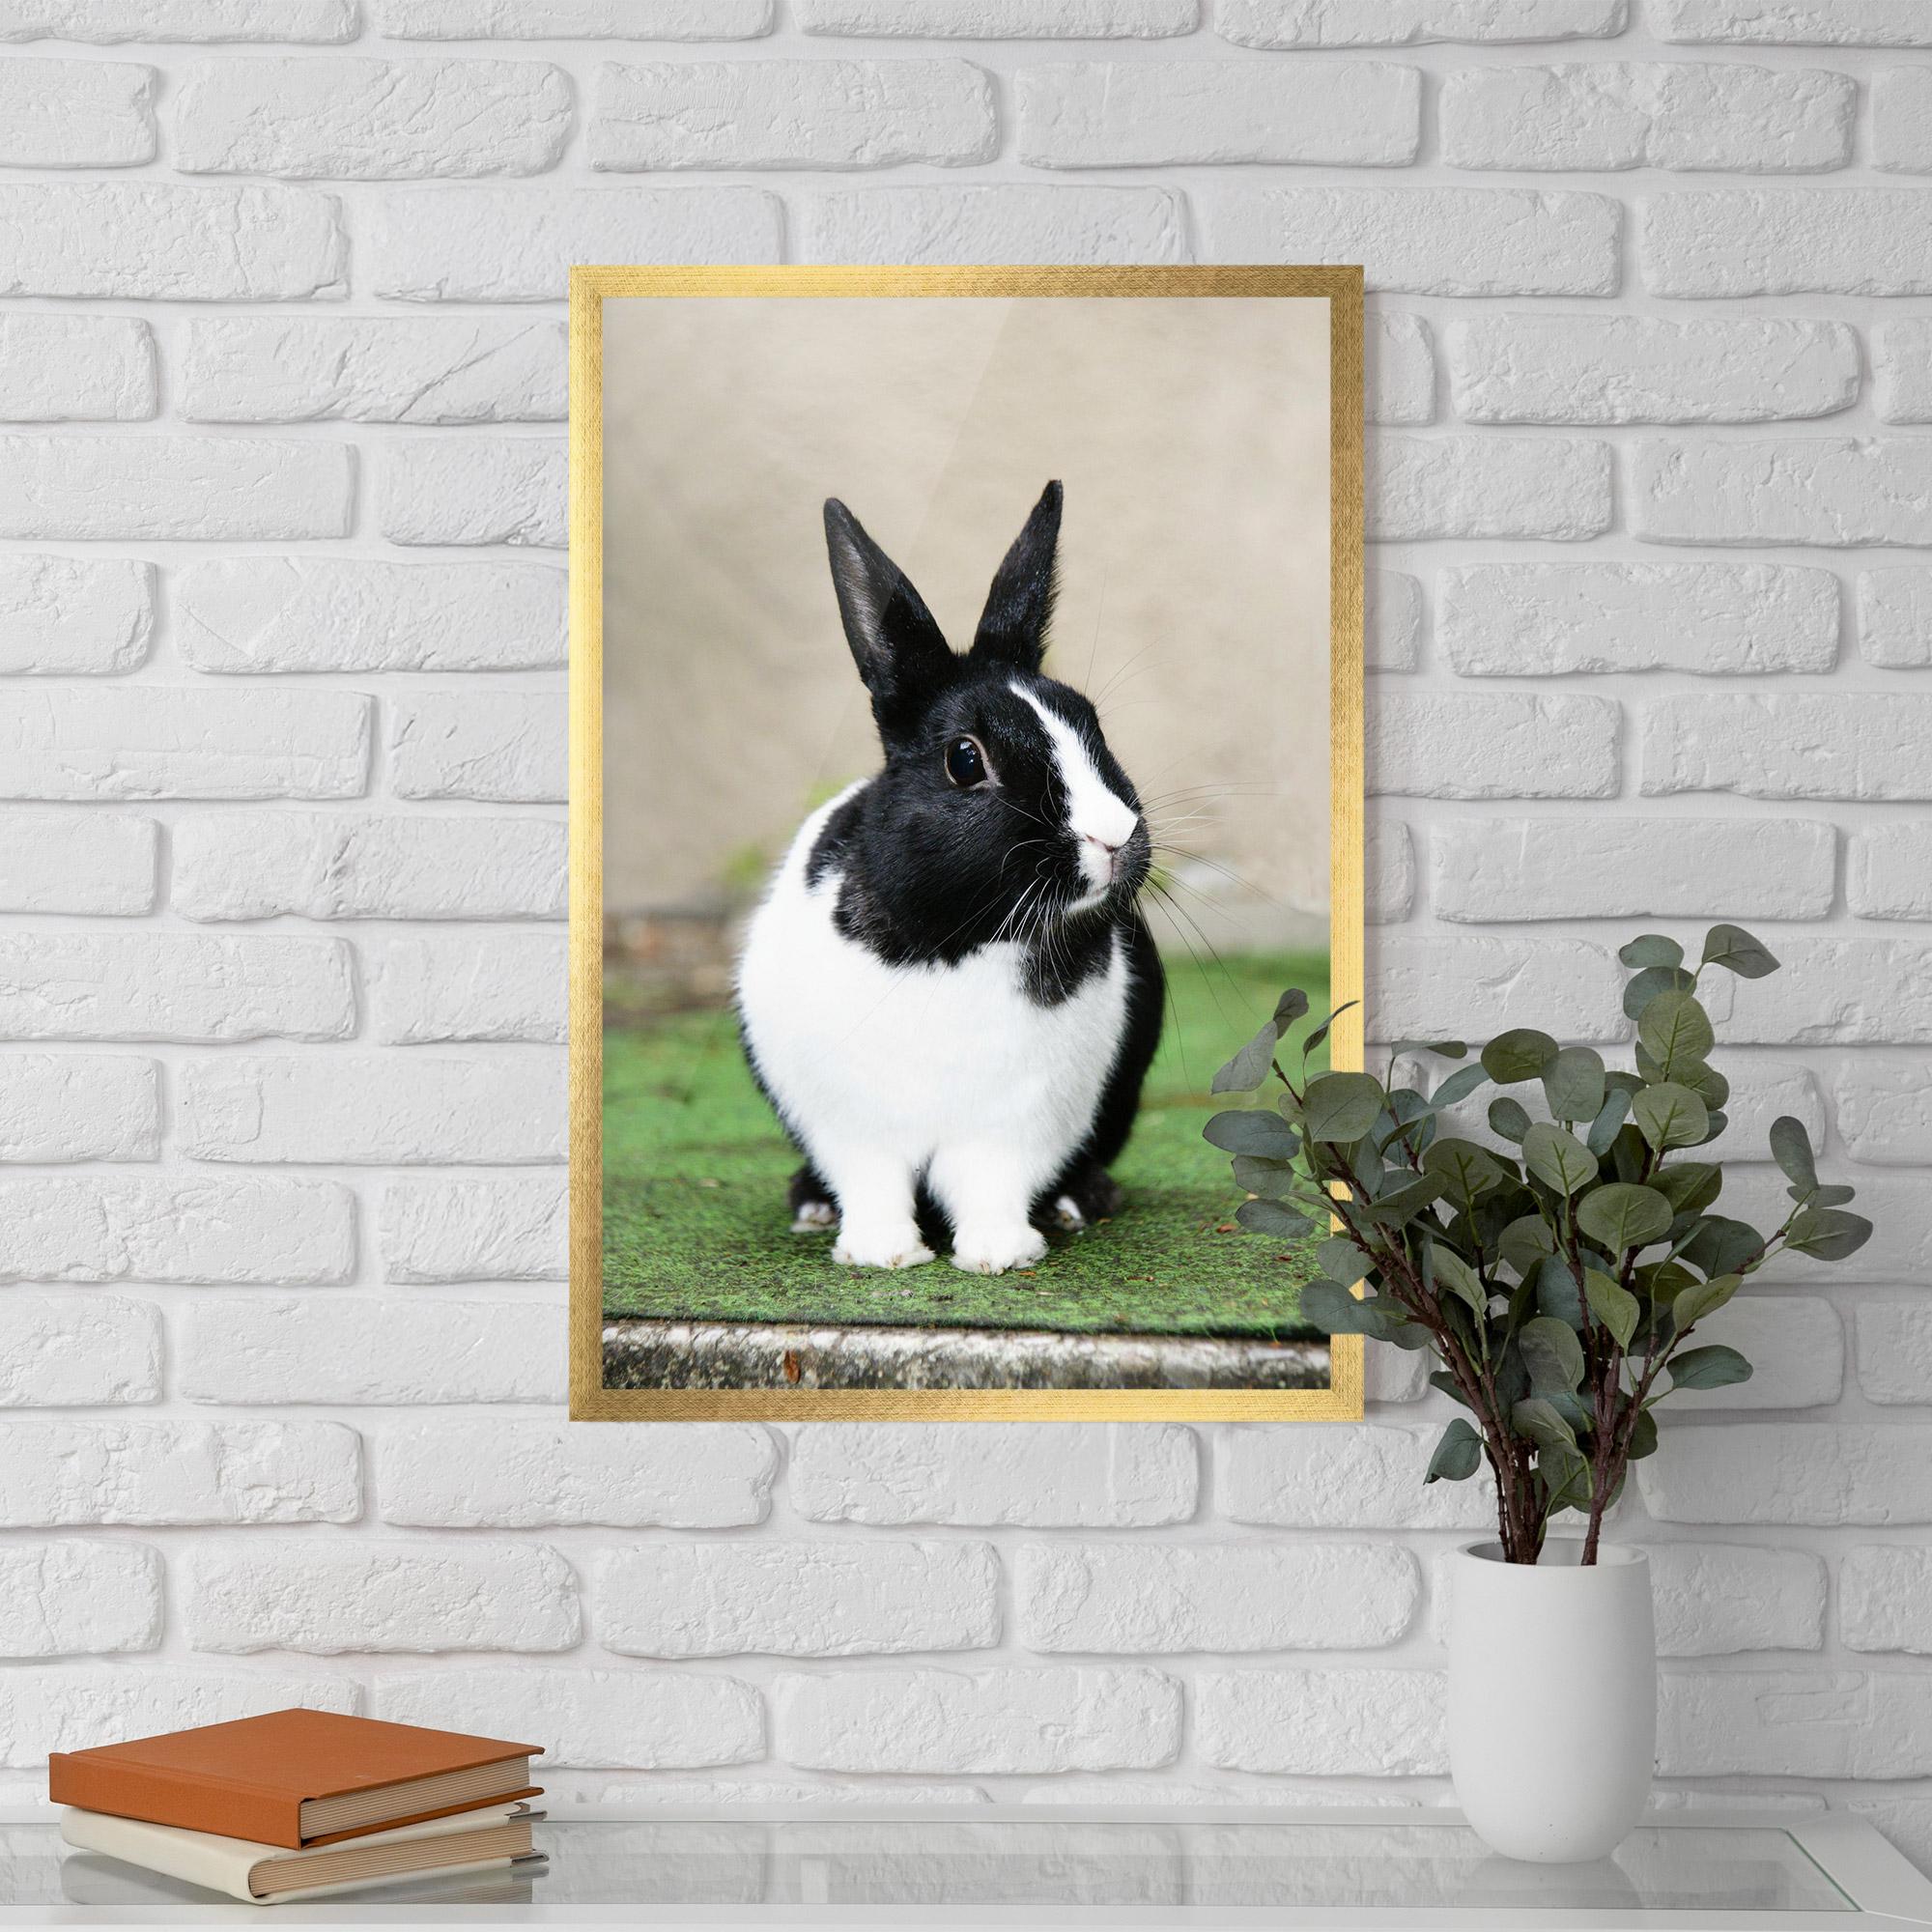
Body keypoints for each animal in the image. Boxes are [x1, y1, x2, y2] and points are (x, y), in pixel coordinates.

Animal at [735, 480, 1164, 1275]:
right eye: (966, 760)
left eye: (1091, 724)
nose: (1115, 837)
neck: (958, 941)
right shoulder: (853, 1125)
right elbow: (872, 1184)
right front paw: (881, 1254)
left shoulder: (1017, 1123)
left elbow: (992, 1184)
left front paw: (999, 1255)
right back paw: (811, 1206)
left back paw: (1079, 1201)